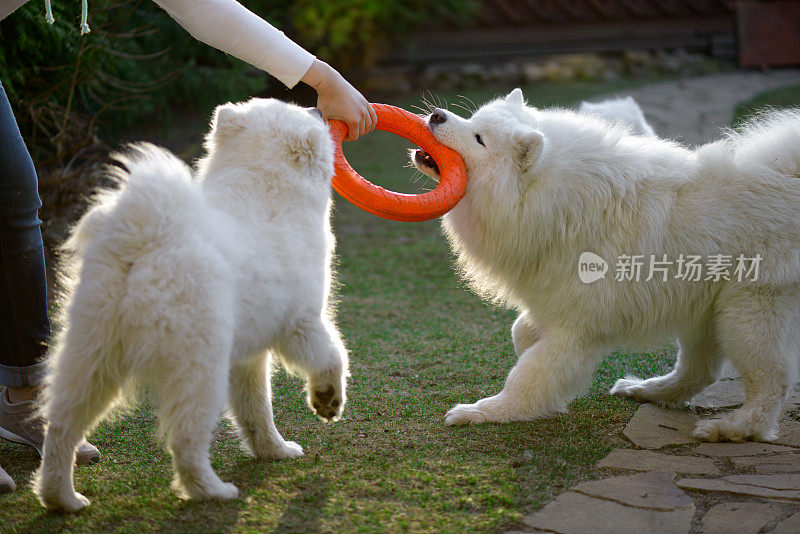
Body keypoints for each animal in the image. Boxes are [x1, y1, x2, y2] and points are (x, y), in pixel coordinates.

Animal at [35, 99, 346, 516]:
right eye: (303, 111)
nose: (319, 107)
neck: (263, 184)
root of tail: (148, 244)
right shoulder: (301, 322)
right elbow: (332, 356)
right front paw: (327, 400)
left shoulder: (247, 354)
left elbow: (256, 410)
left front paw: (274, 451)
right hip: (200, 366)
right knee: (185, 440)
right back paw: (212, 490)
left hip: (91, 356)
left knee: (61, 428)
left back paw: (62, 498)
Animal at [412, 90, 800, 446]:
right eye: (473, 118)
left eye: (479, 138)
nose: (436, 115)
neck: (559, 203)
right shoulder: (553, 297)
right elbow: (520, 331)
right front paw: (526, 346)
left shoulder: (576, 328)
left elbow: (529, 376)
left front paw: (484, 411)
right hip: (705, 308)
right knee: (698, 371)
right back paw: (648, 390)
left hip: (748, 313)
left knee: (770, 384)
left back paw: (732, 428)